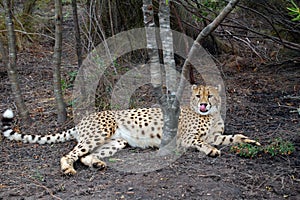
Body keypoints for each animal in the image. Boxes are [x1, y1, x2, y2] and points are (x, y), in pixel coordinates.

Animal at [1, 84, 260, 175]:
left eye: (210, 95)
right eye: (198, 96)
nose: (204, 104)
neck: (210, 115)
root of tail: (84, 118)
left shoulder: (218, 135)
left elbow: (234, 137)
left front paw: (252, 142)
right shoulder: (185, 138)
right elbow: (201, 142)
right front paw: (211, 151)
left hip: (116, 141)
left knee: (85, 156)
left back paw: (97, 164)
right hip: (100, 132)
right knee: (70, 155)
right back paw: (67, 169)